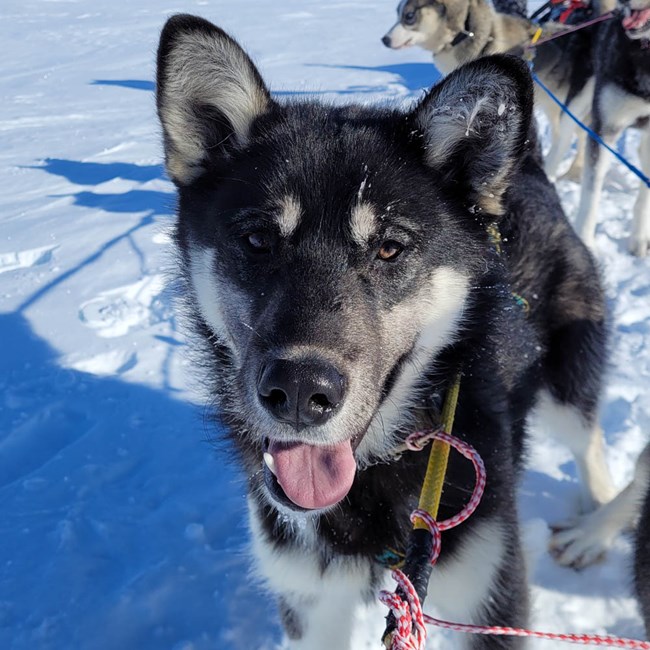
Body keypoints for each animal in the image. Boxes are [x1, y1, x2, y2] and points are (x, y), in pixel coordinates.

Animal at [156, 13, 608, 644]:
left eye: (391, 248)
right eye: (257, 239)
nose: (301, 390)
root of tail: (527, 177)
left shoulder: (490, 601)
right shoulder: (309, 605)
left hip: (567, 388)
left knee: (594, 448)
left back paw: (595, 527)